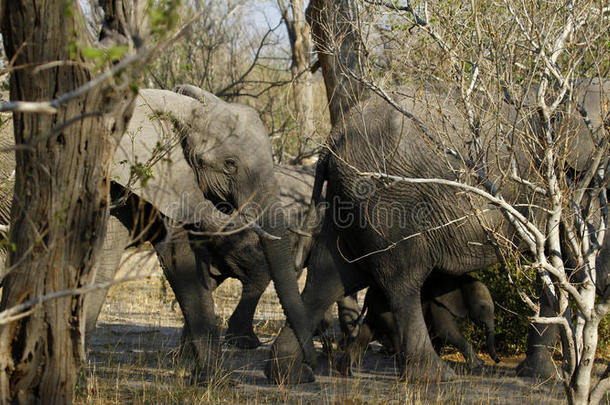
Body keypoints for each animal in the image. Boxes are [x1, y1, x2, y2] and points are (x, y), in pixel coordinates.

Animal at [338, 274, 498, 378]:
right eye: (482, 306)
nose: (498, 361)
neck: (460, 280)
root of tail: (367, 294)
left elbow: (439, 334)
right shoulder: (437, 302)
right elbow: (445, 330)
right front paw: (478, 365)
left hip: (375, 309)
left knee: (367, 334)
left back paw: (346, 372)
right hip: (384, 308)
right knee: (395, 334)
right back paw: (403, 374)